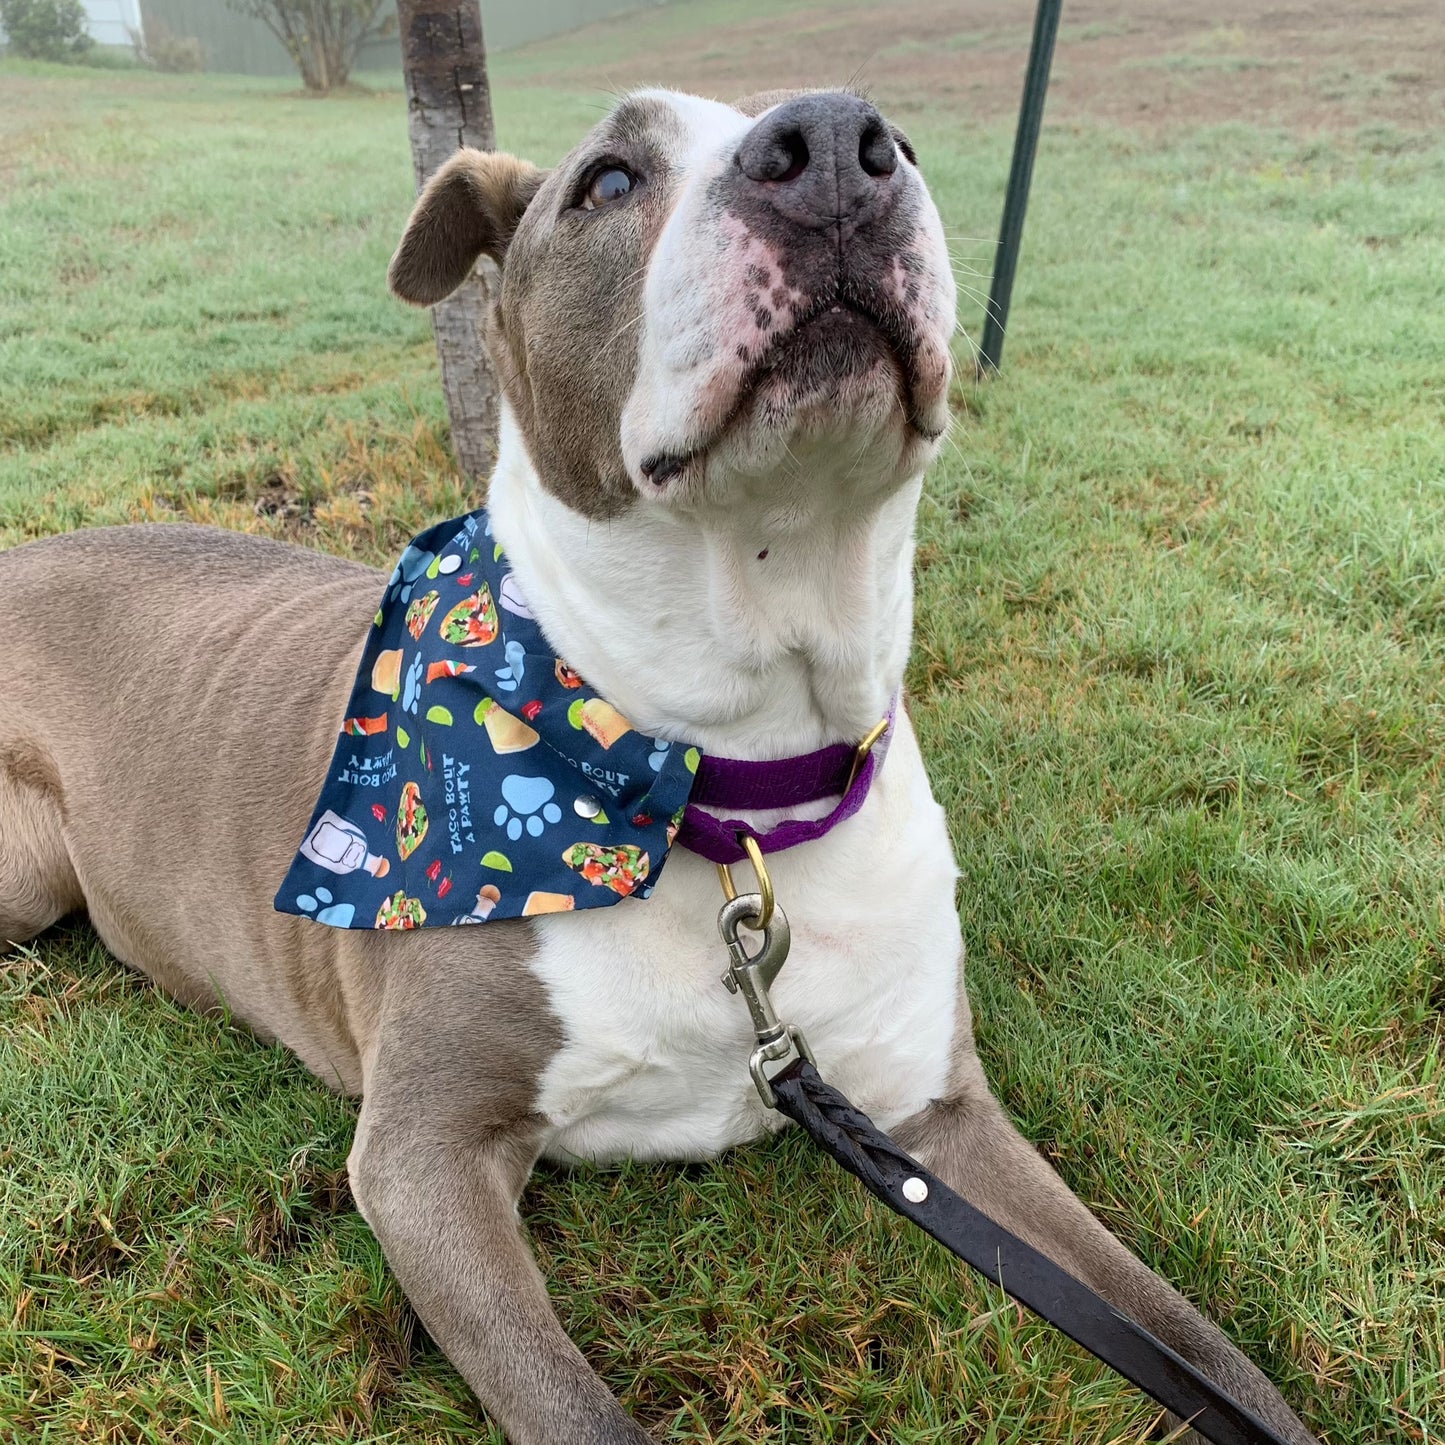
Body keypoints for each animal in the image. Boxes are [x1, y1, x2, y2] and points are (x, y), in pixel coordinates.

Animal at [0, 93, 1317, 1445]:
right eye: (609, 179)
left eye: (890, 142)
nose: (834, 147)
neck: (732, 789)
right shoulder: (420, 1154)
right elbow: (575, 1410)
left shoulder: (934, 1110)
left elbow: (1189, 1340)